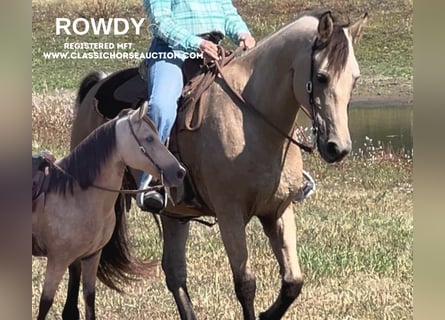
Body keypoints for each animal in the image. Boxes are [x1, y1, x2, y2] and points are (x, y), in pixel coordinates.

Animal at [31, 104, 184, 318]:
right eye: (149, 138)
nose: (180, 172)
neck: (75, 195)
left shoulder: (91, 256)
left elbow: (89, 300)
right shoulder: (57, 260)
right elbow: (45, 304)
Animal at [70, 10, 368, 320]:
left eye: (354, 78)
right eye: (321, 76)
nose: (337, 147)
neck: (252, 122)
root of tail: (97, 85)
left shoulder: (279, 210)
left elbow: (292, 282)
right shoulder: (230, 214)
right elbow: (245, 284)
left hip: (174, 214)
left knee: (174, 273)